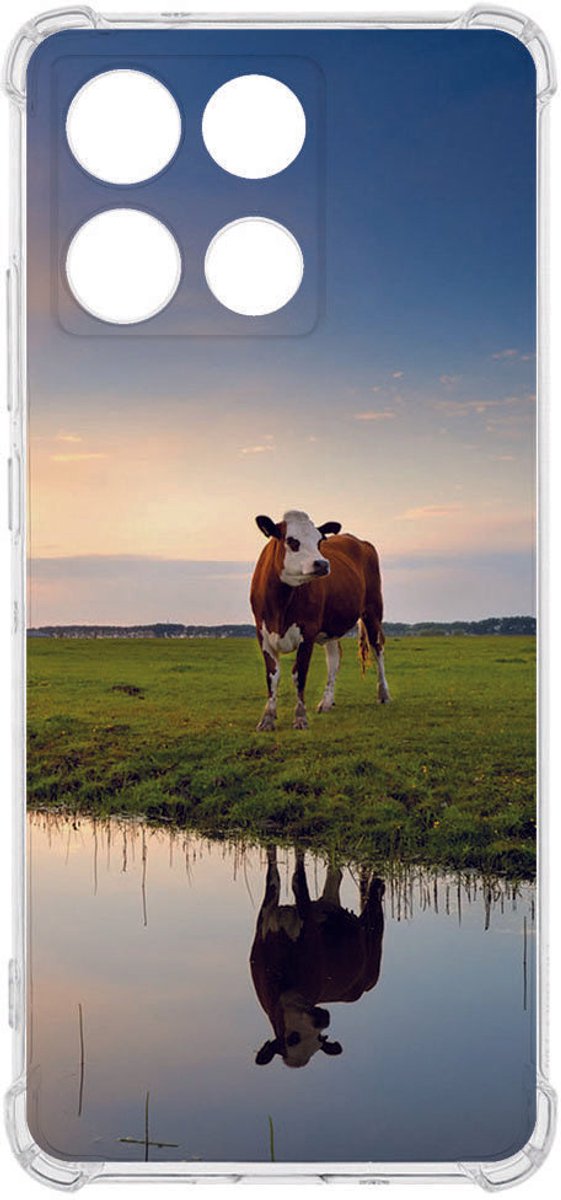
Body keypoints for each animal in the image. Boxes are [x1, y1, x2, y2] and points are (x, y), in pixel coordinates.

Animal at [250, 509, 390, 731]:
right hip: (331, 625)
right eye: (292, 541)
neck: (280, 602)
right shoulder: (262, 633)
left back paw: (383, 693)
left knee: (378, 649)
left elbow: (299, 674)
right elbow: (272, 675)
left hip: (373, 610)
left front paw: (300, 717)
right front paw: (267, 718)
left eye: (319, 541)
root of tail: (358, 540)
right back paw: (326, 702)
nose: (323, 564)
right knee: (334, 658)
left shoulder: (307, 631)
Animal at [250, 847, 385, 1069]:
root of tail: (361, 991)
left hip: (374, 940)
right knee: (335, 874)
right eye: (293, 1038)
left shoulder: (308, 927)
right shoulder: (266, 916)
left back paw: (378, 884)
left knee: (374, 905)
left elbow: (297, 879)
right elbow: (273, 874)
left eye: (319, 1039)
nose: (323, 1019)